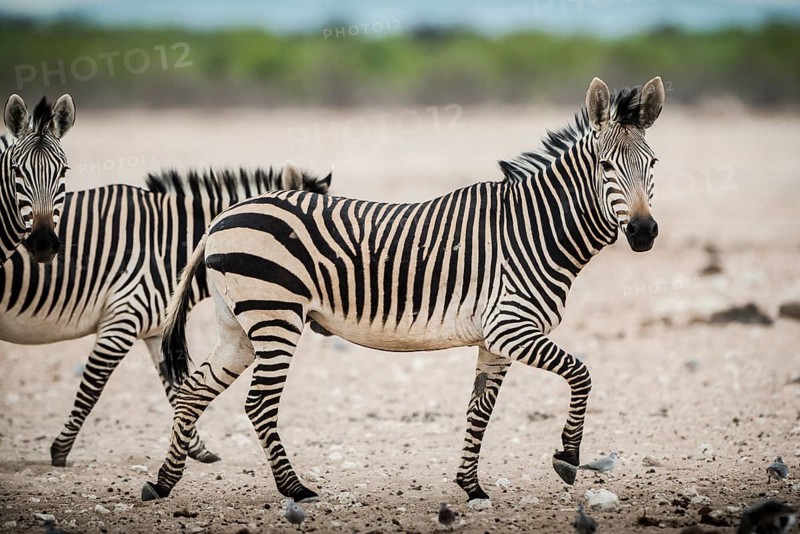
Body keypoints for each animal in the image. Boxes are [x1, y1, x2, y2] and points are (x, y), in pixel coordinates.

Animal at [0, 163, 332, 467]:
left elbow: (177, 386)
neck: (170, 246)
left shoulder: (156, 328)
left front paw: (195, 450)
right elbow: (91, 389)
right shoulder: (122, 319)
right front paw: (60, 451)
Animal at [141, 76, 665, 504]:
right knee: (258, 404)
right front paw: (568, 457)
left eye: (653, 164)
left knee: (191, 392)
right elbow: (582, 374)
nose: (643, 233)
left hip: (238, 326)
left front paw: (471, 486)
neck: (534, 229)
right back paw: (295, 488)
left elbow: (479, 411)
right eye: (604, 165)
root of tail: (221, 216)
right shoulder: (512, 328)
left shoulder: (495, 340)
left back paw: (162, 483)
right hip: (276, 316)